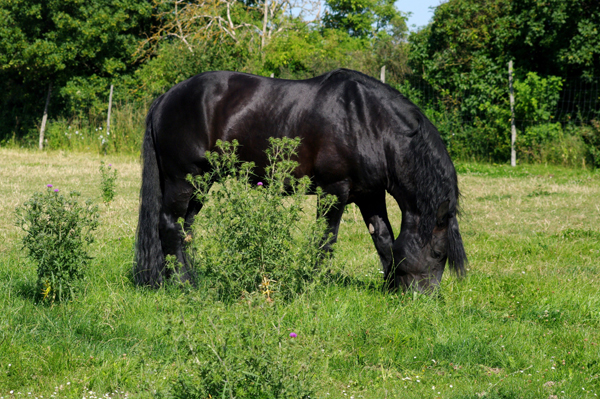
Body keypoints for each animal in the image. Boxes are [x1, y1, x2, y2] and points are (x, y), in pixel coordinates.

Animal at [134, 69, 466, 292]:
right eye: (439, 253)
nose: (421, 298)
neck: (368, 122)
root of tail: (165, 98)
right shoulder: (334, 190)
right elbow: (326, 240)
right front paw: (313, 283)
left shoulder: (369, 194)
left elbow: (383, 238)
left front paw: (387, 286)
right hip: (184, 180)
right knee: (169, 226)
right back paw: (183, 283)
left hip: (202, 183)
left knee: (185, 229)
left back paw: (185, 277)